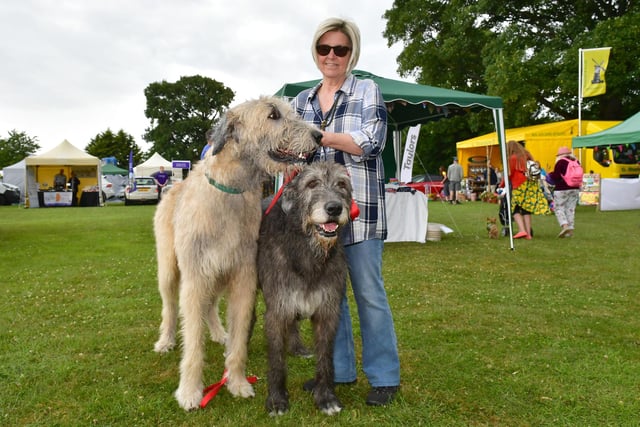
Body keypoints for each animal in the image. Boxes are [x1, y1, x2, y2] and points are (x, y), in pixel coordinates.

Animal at [153, 98, 322, 412]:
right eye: (273, 114)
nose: (319, 136)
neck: (230, 190)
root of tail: (172, 186)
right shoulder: (195, 277)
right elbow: (193, 338)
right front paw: (190, 391)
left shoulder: (243, 276)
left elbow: (240, 336)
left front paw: (237, 382)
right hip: (169, 267)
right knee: (169, 306)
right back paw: (166, 341)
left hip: (219, 273)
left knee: (210, 304)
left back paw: (220, 333)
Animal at [256, 160, 356, 414]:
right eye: (312, 184)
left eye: (342, 184)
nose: (334, 208)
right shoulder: (276, 309)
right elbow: (276, 359)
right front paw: (277, 399)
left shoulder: (328, 311)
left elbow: (326, 357)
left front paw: (326, 397)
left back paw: (296, 348)